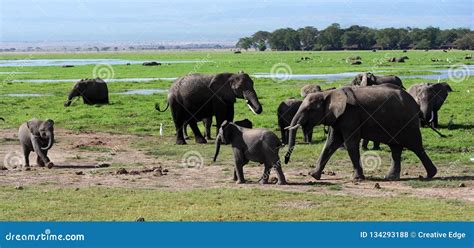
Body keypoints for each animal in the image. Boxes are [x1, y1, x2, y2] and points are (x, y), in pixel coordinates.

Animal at [286, 85, 436, 180]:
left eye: (309, 109)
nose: (286, 160)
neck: (328, 93)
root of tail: (416, 105)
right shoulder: (337, 118)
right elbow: (331, 143)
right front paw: (313, 175)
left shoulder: (350, 115)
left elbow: (350, 143)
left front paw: (357, 178)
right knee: (395, 149)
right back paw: (391, 177)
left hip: (408, 123)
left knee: (416, 146)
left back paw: (431, 175)